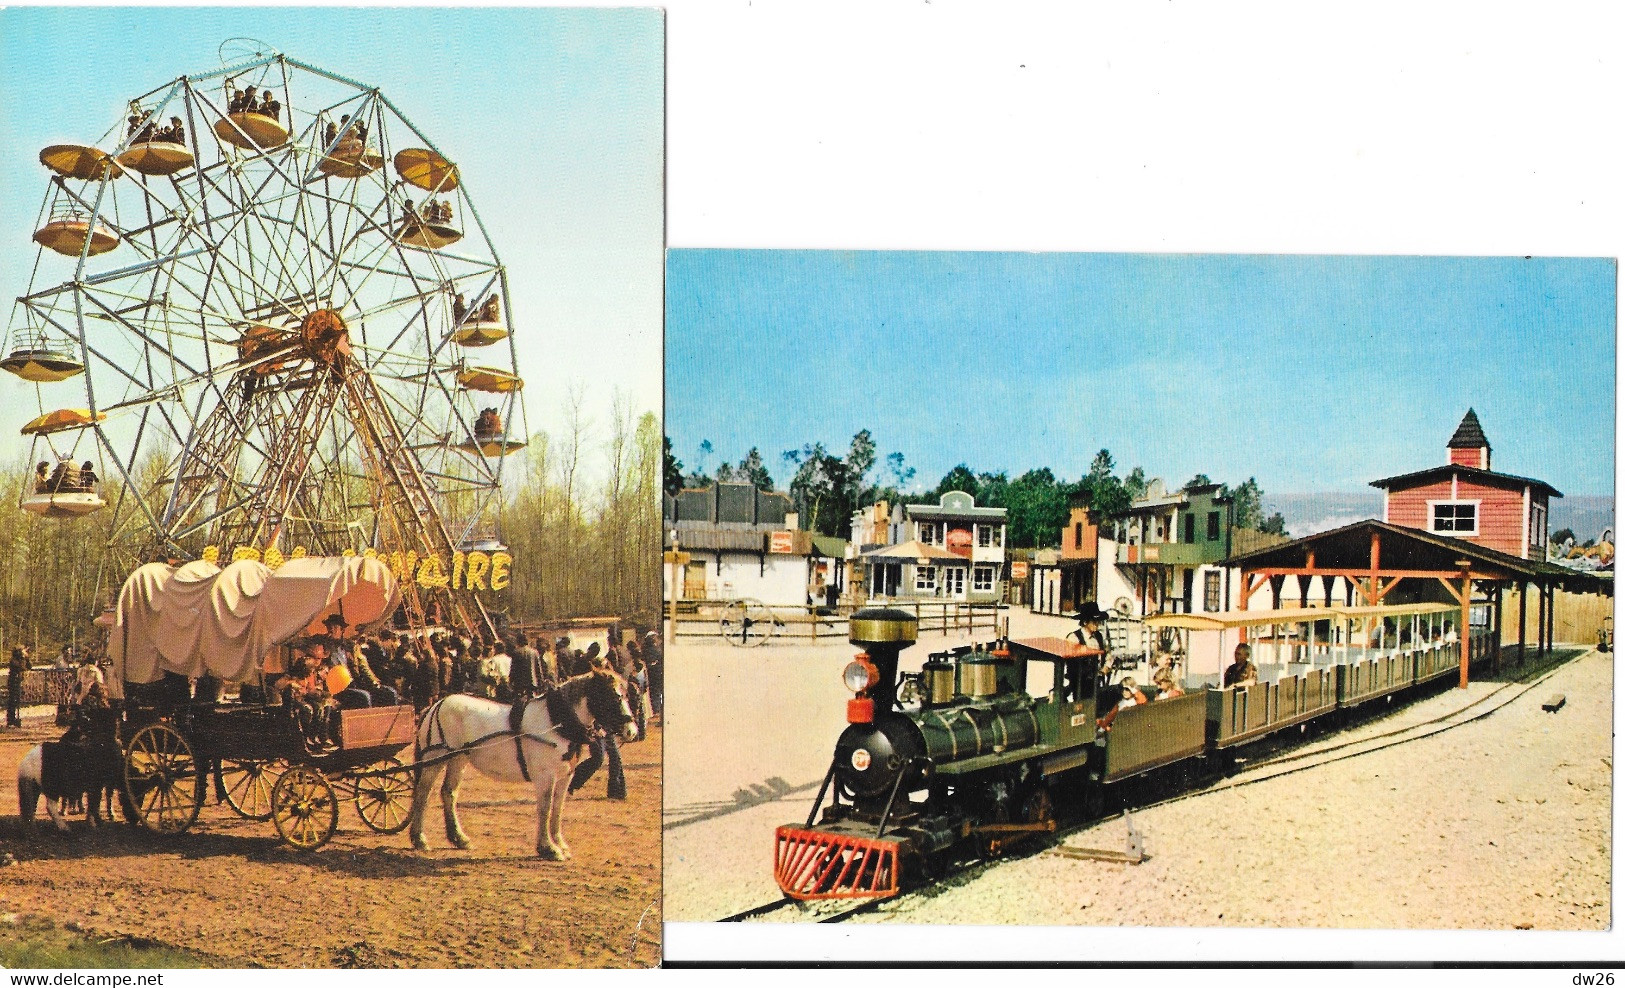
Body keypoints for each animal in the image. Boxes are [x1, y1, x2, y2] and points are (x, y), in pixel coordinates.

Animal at [406, 666, 633, 858]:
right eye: (612, 695)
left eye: (626, 693)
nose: (632, 730)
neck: (556, 721)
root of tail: (437, 704)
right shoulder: (545, 776)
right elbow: (545, 808)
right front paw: (548, 848)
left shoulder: (565, 776)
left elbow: (557, 809)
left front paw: (560, 844)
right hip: (434, 759)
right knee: (423, 794)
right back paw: (420, 839)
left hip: (458, 758)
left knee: (449, 793)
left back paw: (459, 839)